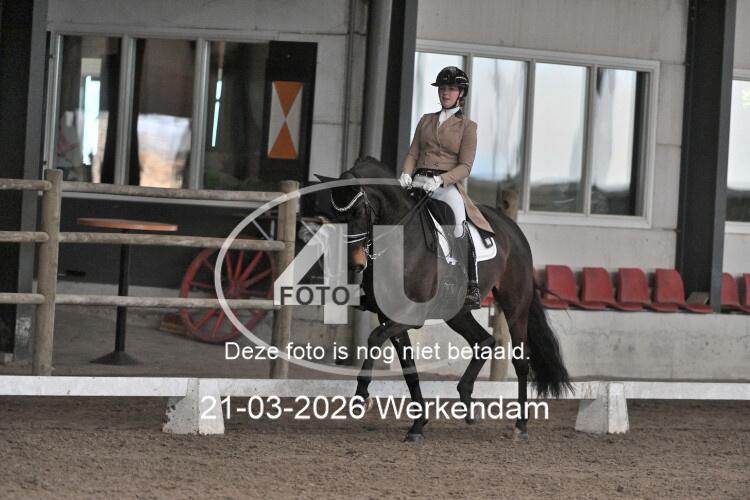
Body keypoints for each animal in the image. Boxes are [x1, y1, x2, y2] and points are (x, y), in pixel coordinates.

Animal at [319, 157, 571, 442]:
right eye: (334, 215)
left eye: (359, 212)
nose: (355, 264)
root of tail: (512, 228)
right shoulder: (390, 317)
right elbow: (408, 368)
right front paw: (418, 425)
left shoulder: (410, 315)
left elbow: (373, 338)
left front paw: (362, 396)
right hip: (456, 312)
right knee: (484, 341)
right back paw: (468, 403)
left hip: (515, 305)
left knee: (521, 361)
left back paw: (521, 425)